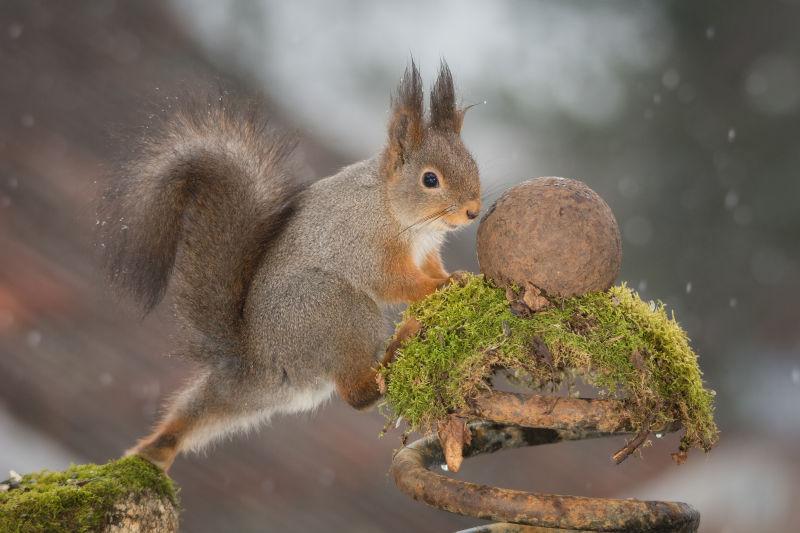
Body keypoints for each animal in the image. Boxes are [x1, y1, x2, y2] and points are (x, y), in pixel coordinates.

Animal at [97, 61, 478, 470]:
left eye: (473, 163)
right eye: (430, 179)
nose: (473, 211)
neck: (391, 206)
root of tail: (259, 364)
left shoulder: (427, 251)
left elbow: (431, 267)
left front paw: (456, 276)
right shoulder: (364, 245)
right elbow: (392, 281)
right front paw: (437, 287)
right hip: (334, 308)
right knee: (358, 394)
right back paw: (400, 341)